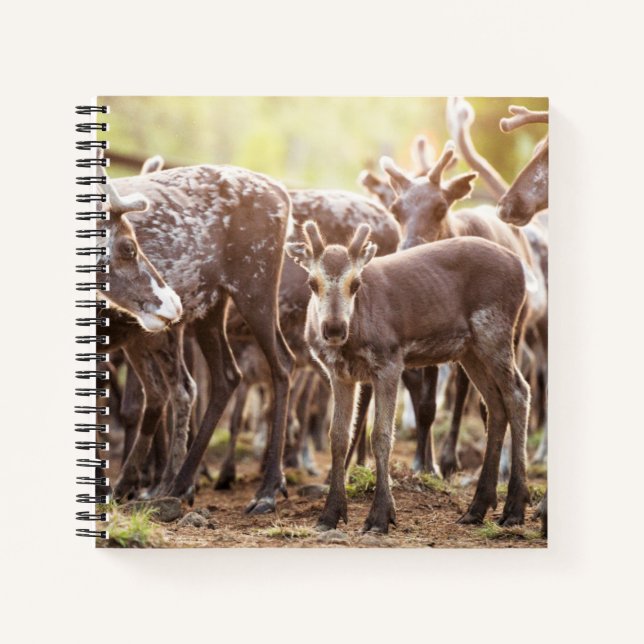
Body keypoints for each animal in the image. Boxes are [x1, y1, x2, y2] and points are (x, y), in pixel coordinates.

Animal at [100, 164, 295, 514]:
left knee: (282, 365)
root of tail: (282, 194)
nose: (172, 302)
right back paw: (178, 484)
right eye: (128, 248)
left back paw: (267, 490)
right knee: (225, 376)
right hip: (211, 306)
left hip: (255, 288)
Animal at [287, 221, 532, 532]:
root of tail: (520, 266)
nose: (333, 329)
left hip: (495, 330)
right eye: (312, 283)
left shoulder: (390, 362)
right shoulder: (339, 374)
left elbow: (380, 435)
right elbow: (338, 436)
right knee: (495, 404)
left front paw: (380, 516)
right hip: (470, 350)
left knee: (518, 393)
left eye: (355, 283)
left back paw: (514, 507)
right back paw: (477, 507)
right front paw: (330, 514)